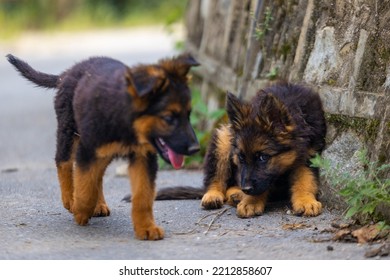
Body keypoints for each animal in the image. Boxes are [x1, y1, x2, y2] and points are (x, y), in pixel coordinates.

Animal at [6, 53, 200, 240]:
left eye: (188, 114)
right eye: (169, 118)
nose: (195, 149)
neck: (126, 120)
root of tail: (67, 73)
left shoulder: (143, 157)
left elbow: (142, 195)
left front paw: (146, 227)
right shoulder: (87, 149)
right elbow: (85, 187)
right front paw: (80, 210)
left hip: (102, 151)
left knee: (96, 175)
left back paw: (98, 204)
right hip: (68, 131)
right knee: (64, 163)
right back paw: (69, 198)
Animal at [201, 82, 326, 218]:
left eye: (263, 157)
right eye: (241, 157)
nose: (246, 189)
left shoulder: (309, 155)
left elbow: (305, 179)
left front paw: (305, 200)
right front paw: (251, 202)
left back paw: (237, 195)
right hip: (223, 139)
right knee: (216, 176)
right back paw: (214, 195)